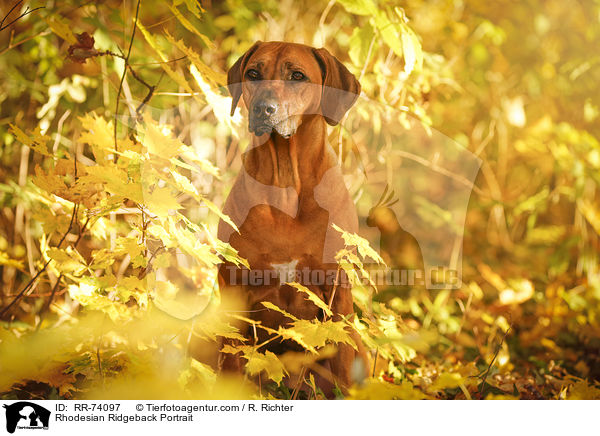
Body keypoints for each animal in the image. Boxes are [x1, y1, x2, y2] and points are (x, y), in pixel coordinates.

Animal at [217, 41, 366, 396]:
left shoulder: (338, 291)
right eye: (253, 73)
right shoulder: (232, 284)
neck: (285, 184)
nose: (263, 109)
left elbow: (341, 361)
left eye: (297, 76)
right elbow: (230, 357)